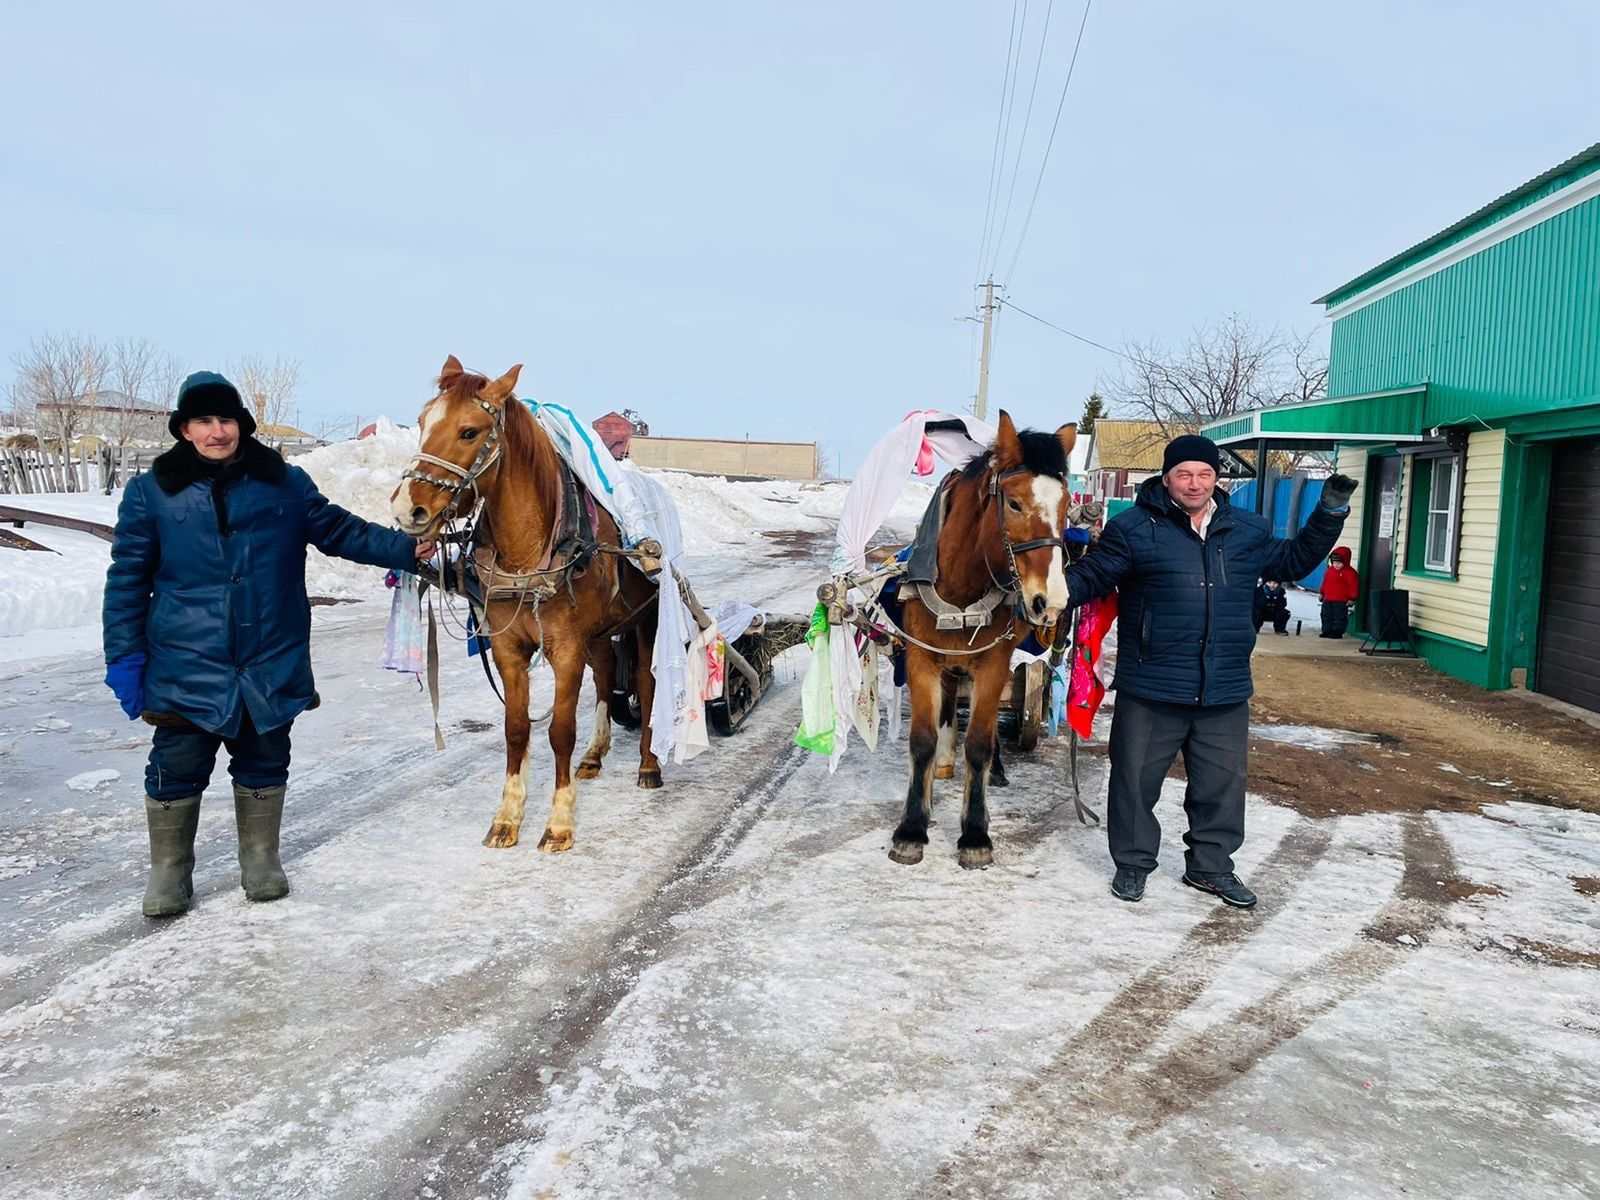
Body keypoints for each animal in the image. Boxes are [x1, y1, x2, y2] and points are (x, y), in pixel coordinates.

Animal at [390, 356, 659, 857]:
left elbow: (559, 731)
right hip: (599, 631)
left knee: (649, 686)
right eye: (421, 422)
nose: (406, 510)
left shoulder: (566, 647)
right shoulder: (509, 648)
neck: (531, 551)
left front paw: (559, 822)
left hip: (648, 617)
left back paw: (650, 763)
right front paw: (507, 817)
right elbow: (516, 730)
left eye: (470, 432)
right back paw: (594, 755)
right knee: (606, 673)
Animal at [889, 412, 1075, 876]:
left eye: (1066, 506)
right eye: (1014, 503)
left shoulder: (993, 664)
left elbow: (978, 743)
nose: (1051, 602)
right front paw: (912, 827)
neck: (960, 587)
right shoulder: (922, 659)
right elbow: (921, 739)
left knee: (987, 733)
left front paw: (975, 834)